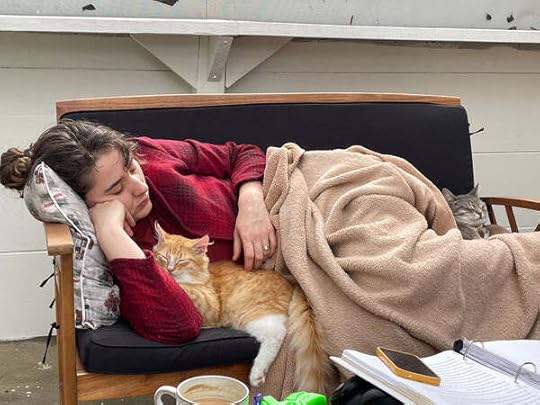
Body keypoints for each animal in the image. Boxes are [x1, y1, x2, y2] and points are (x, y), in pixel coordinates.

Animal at [152, 223, 332, 391]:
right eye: (163, 257)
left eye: (182, 261)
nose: (169, 269)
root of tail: (291, 281)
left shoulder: (210, 302)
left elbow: (183, 287)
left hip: (248, 313)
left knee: (277, 333)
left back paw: (257, 373)